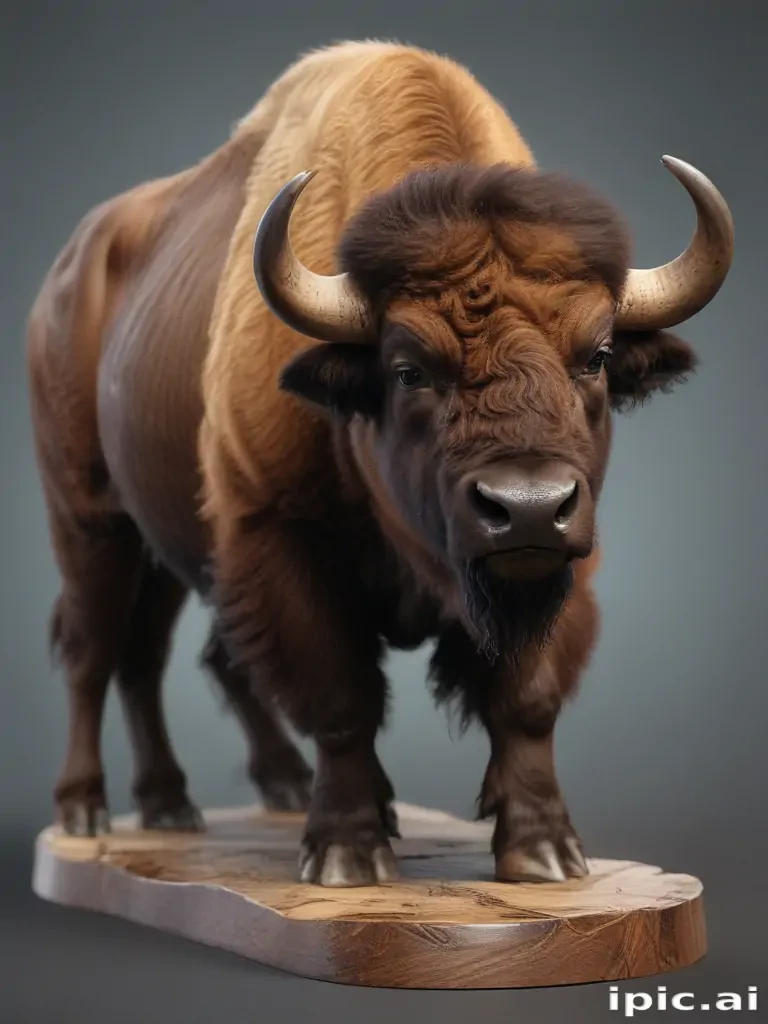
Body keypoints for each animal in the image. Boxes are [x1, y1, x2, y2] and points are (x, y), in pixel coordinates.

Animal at [27, 40, 733, 886]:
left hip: (167, 536)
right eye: (407, 368)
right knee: (95, 647)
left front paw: (546, 854)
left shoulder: (562, 563)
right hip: (90, 517)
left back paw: (212, 797)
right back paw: (89, 810)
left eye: (595, 357)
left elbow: (526, 701)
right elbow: (341, 697)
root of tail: (68, 275)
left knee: (162, 654)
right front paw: (348, 854)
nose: (526, 506)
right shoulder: (278, 535)